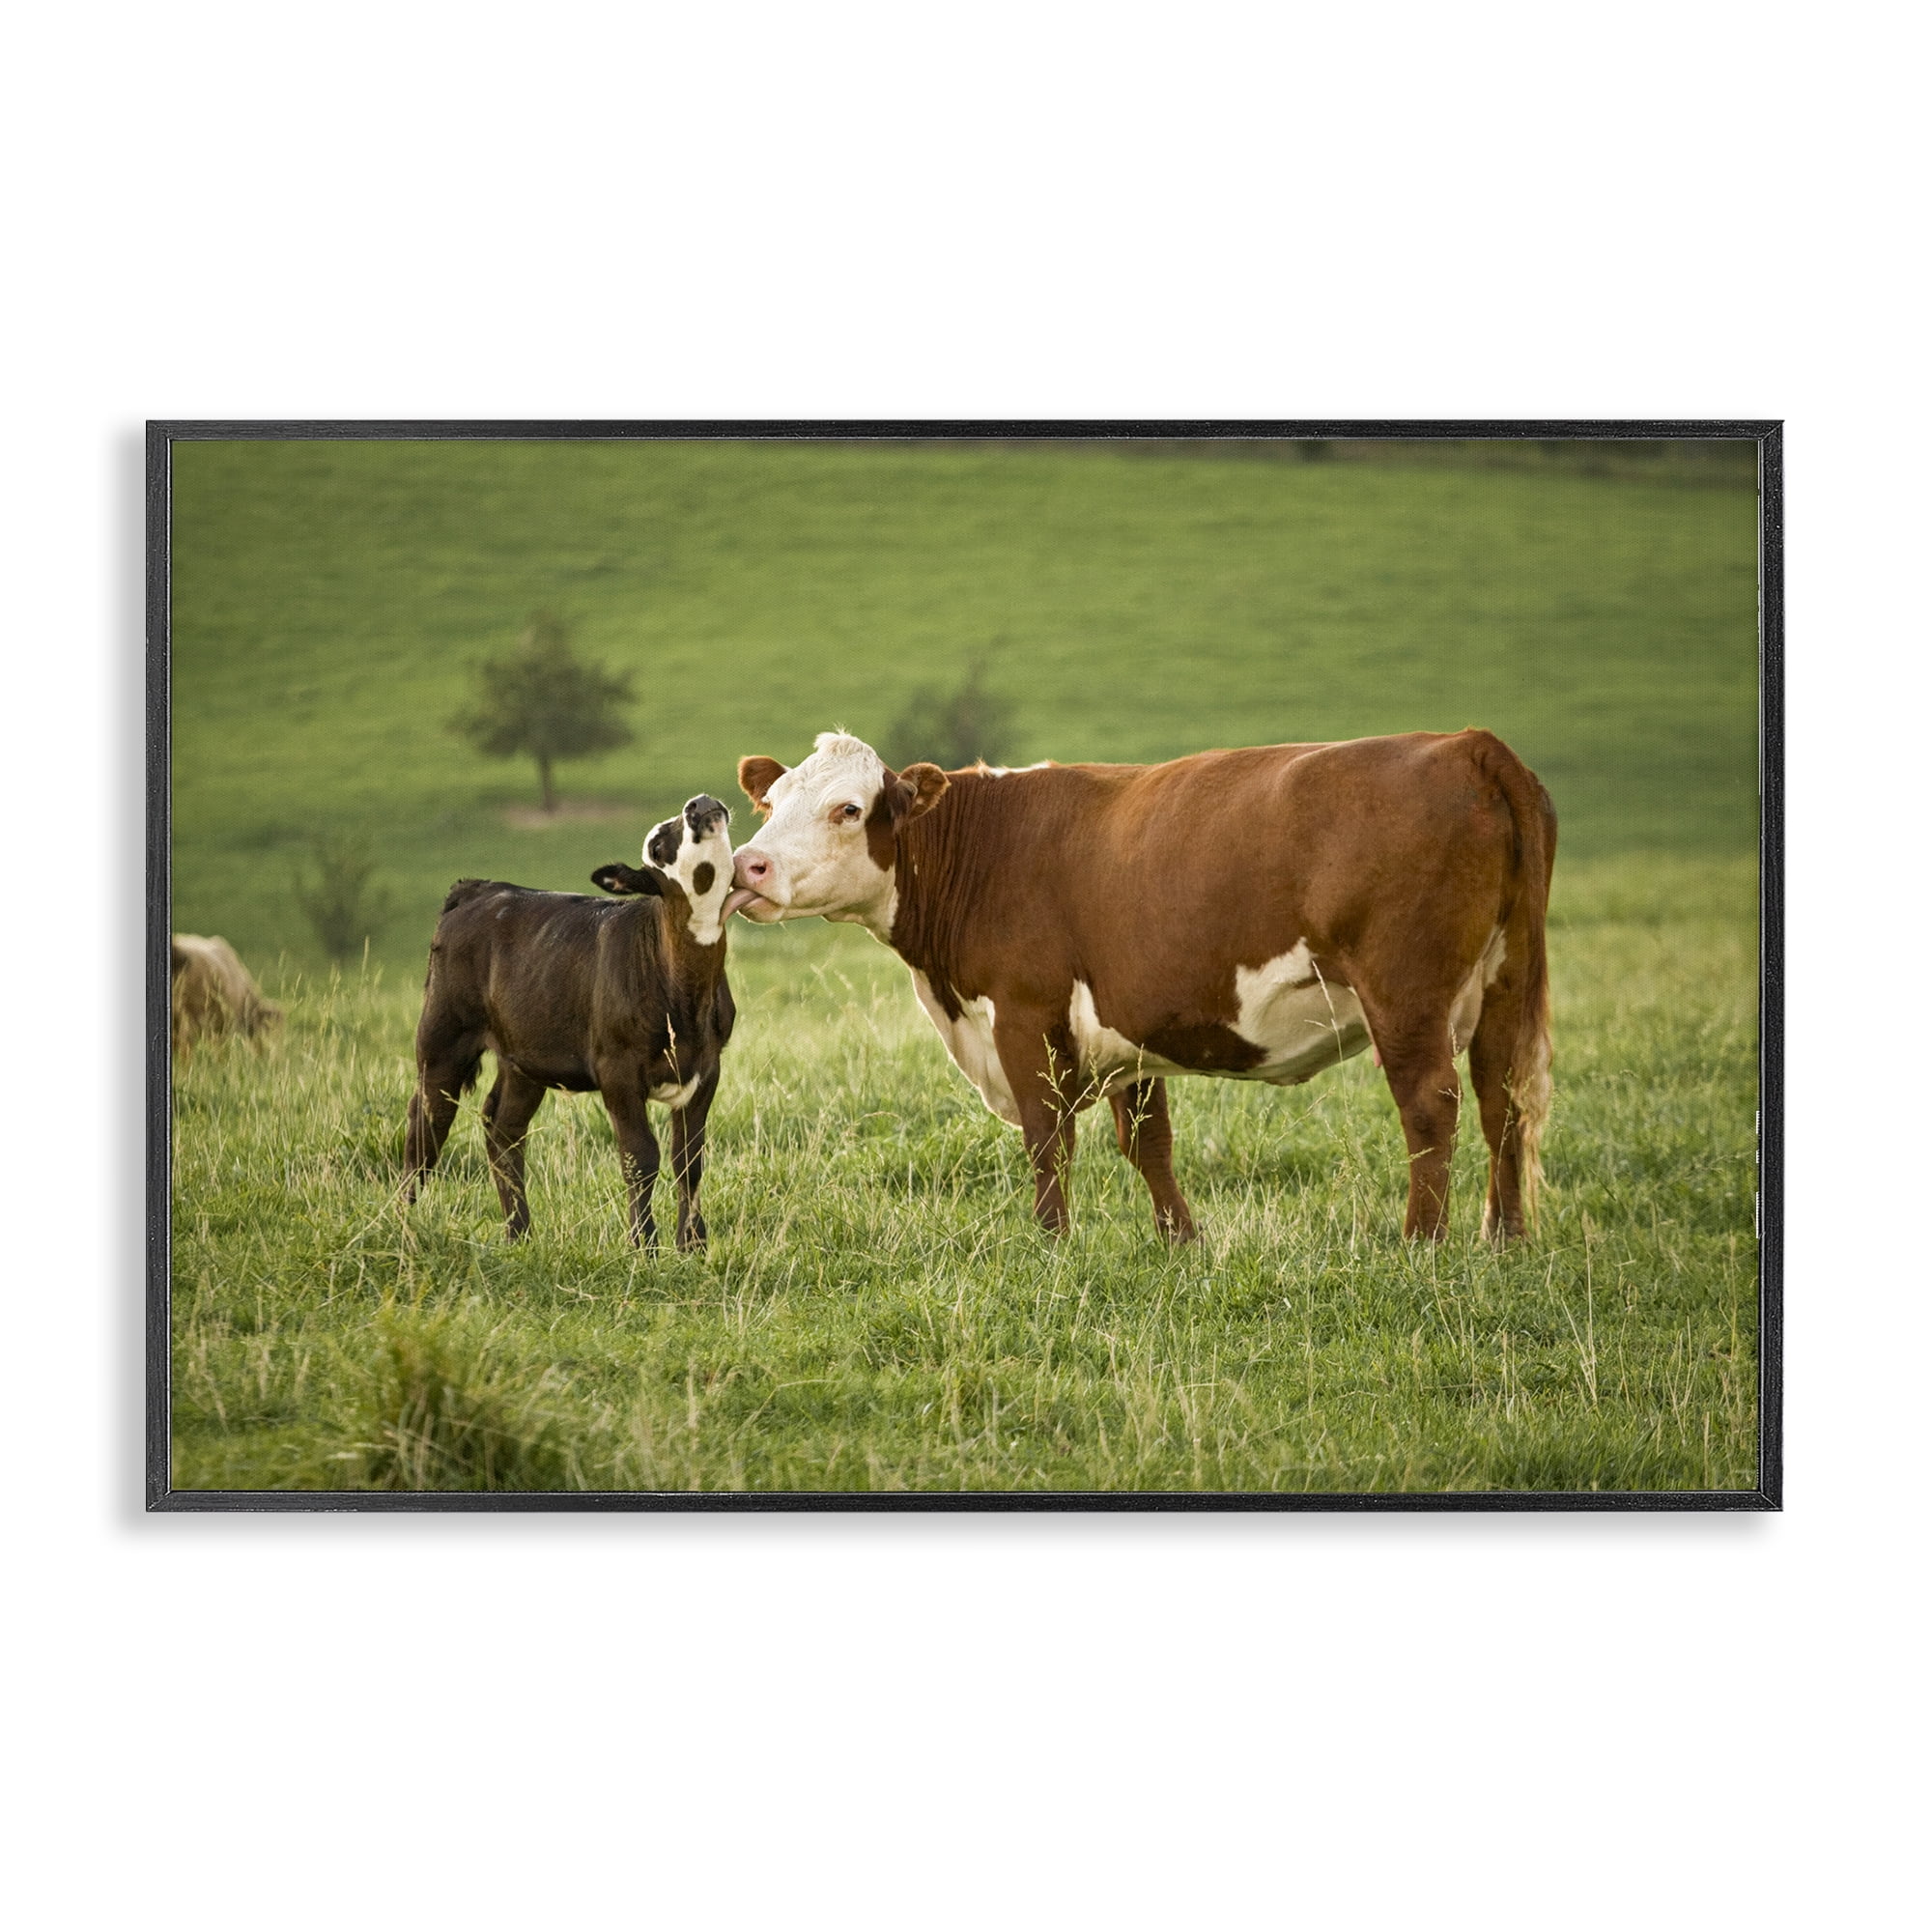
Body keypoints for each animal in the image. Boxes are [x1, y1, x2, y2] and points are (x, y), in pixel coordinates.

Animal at [403, 795, 737, 1250]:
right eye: (657, 844)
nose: (699, 803)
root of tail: (481, 888)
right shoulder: (616, 1068)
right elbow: (641, 1156)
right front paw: (644, 1245)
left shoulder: (707, 1066)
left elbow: (689, 1159)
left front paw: (693, 1245)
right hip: (442, 1037)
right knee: (425, 1126)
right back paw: (403, 1225)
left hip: (524, 1057)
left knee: (503, 1128)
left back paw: (519, 1234)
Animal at [725, 731, 1554, 1244]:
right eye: (771, 803)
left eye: (848, 809)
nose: (745, 866)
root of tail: (1469, 744)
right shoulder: (1127, 1030)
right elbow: (1149, 1142)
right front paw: (1181, 1242)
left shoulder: (1024, 1016)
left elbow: (1047, 1137)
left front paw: (1052, 1242)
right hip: (1504, 984)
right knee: (1502, 1099)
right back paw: (1505, 1238)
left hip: (1404, 994)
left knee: (1431, 1106)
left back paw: (1423, 1242)